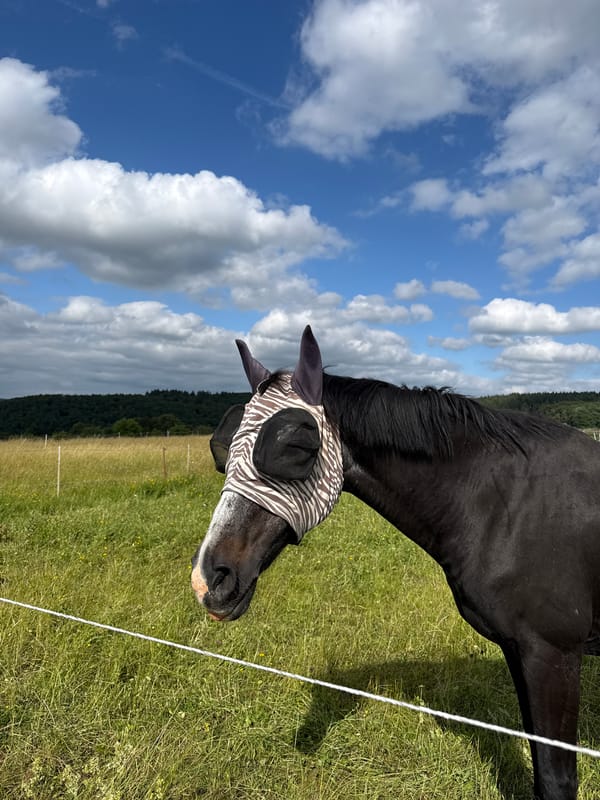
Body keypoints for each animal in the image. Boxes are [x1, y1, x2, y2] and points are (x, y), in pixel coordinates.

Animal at [191, 325, 600, 800]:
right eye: (223, 448)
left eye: (295, 445)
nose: (209, 578)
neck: (506, 506)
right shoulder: (520, 652)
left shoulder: (552, 655)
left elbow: (555, 779)